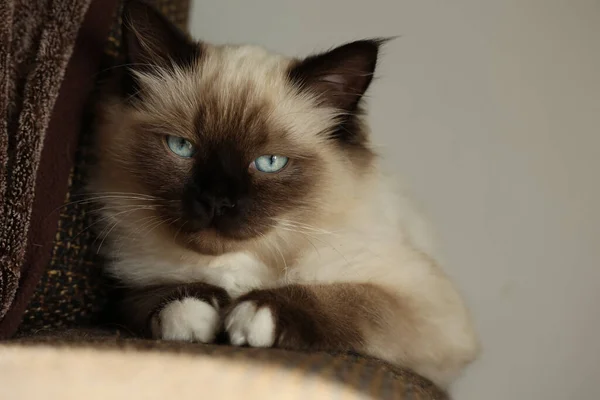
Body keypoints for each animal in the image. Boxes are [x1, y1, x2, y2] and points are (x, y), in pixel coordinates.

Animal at [90, 0, 478, 388]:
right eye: (182, 147)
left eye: (270, 162)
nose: (217, 202)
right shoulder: (125, 285)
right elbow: (152, 294)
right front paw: (193, 313)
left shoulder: (419, 302)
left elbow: (347, 299)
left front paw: (254, 313)